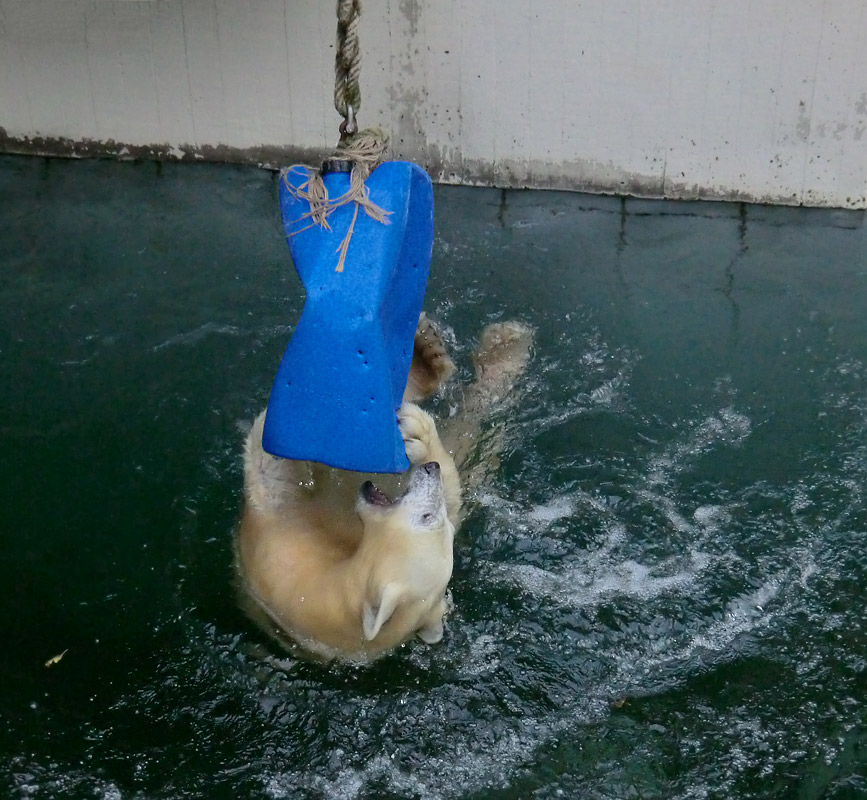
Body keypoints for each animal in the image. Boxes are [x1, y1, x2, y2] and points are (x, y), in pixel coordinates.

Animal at [239, 314, 536, 664]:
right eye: (437, 523)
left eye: (427, 517)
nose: (430, 469)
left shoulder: (279, 555)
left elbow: (272, 471)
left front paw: (416, 434)